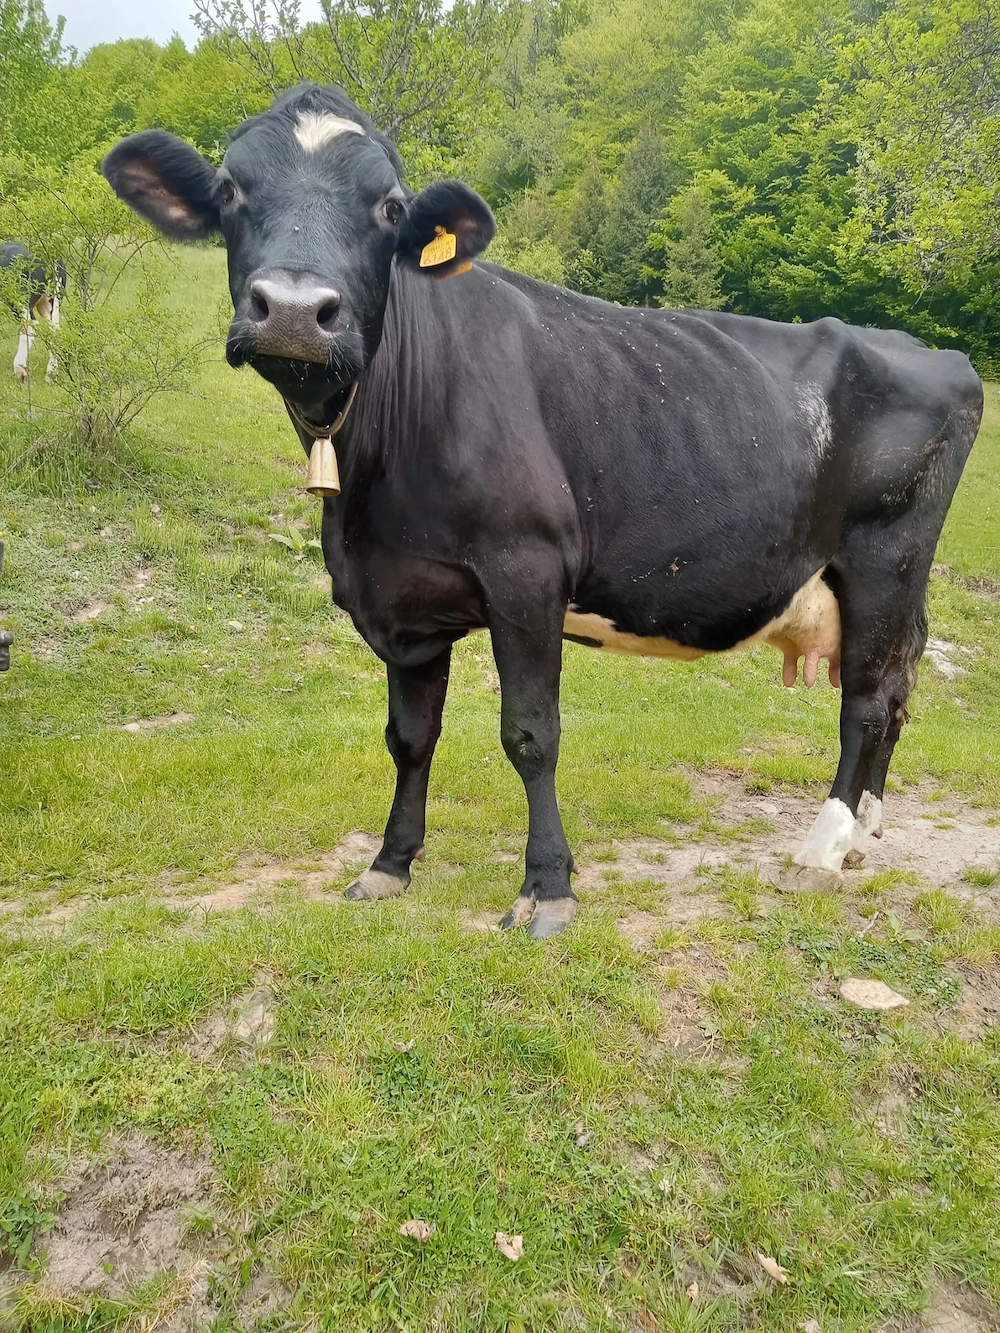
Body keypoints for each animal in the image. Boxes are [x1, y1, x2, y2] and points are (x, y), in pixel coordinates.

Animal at [1, 243, 66, 382]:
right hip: (49, 301)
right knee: (54, 329)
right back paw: (51, 373)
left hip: (19, 298)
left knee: (30, 327)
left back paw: (20, 371)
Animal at [102, 84, 984, 938]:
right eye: (229, 189)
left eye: (389, 206)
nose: (291, 309)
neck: (369, 488)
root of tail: (936, 352)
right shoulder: (400, 599)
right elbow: (409, 737)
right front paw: (389, 865)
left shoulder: (526, 572)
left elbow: (530, 733)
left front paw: (547, 889)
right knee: (897, 688)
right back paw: (865, 831)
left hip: (884, 562)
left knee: (868, 698)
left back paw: (823, 845)